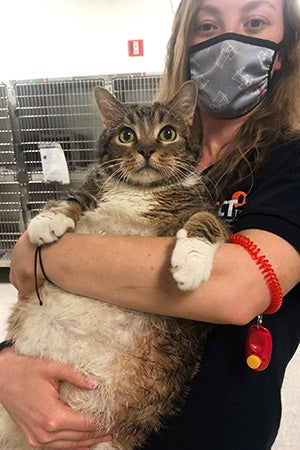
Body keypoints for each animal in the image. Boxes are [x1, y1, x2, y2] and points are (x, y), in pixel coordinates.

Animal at [0, 81, 226, 450]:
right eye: (126, 135)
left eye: (167, 133)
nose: (146, 150)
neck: (140, 190)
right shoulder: (93, 191)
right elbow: (73, 198)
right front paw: (46, 222)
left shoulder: (206, 210)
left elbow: (207, 222)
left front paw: (190, 265)